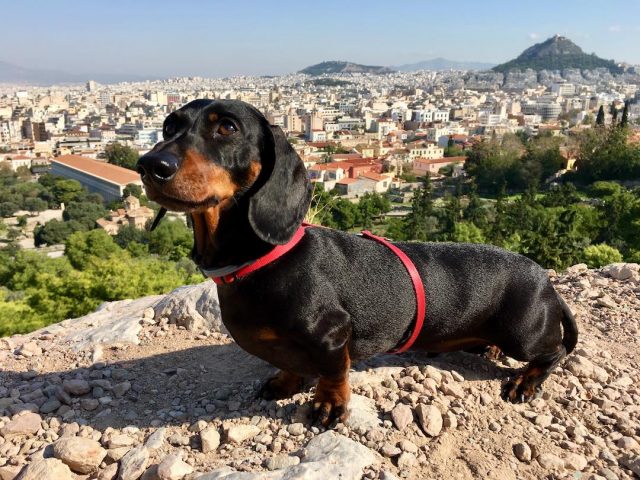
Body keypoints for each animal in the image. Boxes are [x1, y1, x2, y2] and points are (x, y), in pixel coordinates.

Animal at [138, 99, 576, 426]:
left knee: (553, 353)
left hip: (523, 335)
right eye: (168, 127)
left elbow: (333, 373)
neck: (259, 261)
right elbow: (291, 365)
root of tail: (545, 281)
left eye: (227, 128)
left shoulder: (332, 334)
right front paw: (285, 381)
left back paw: (526, 381)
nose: (149, 165)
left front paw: (328, 405)